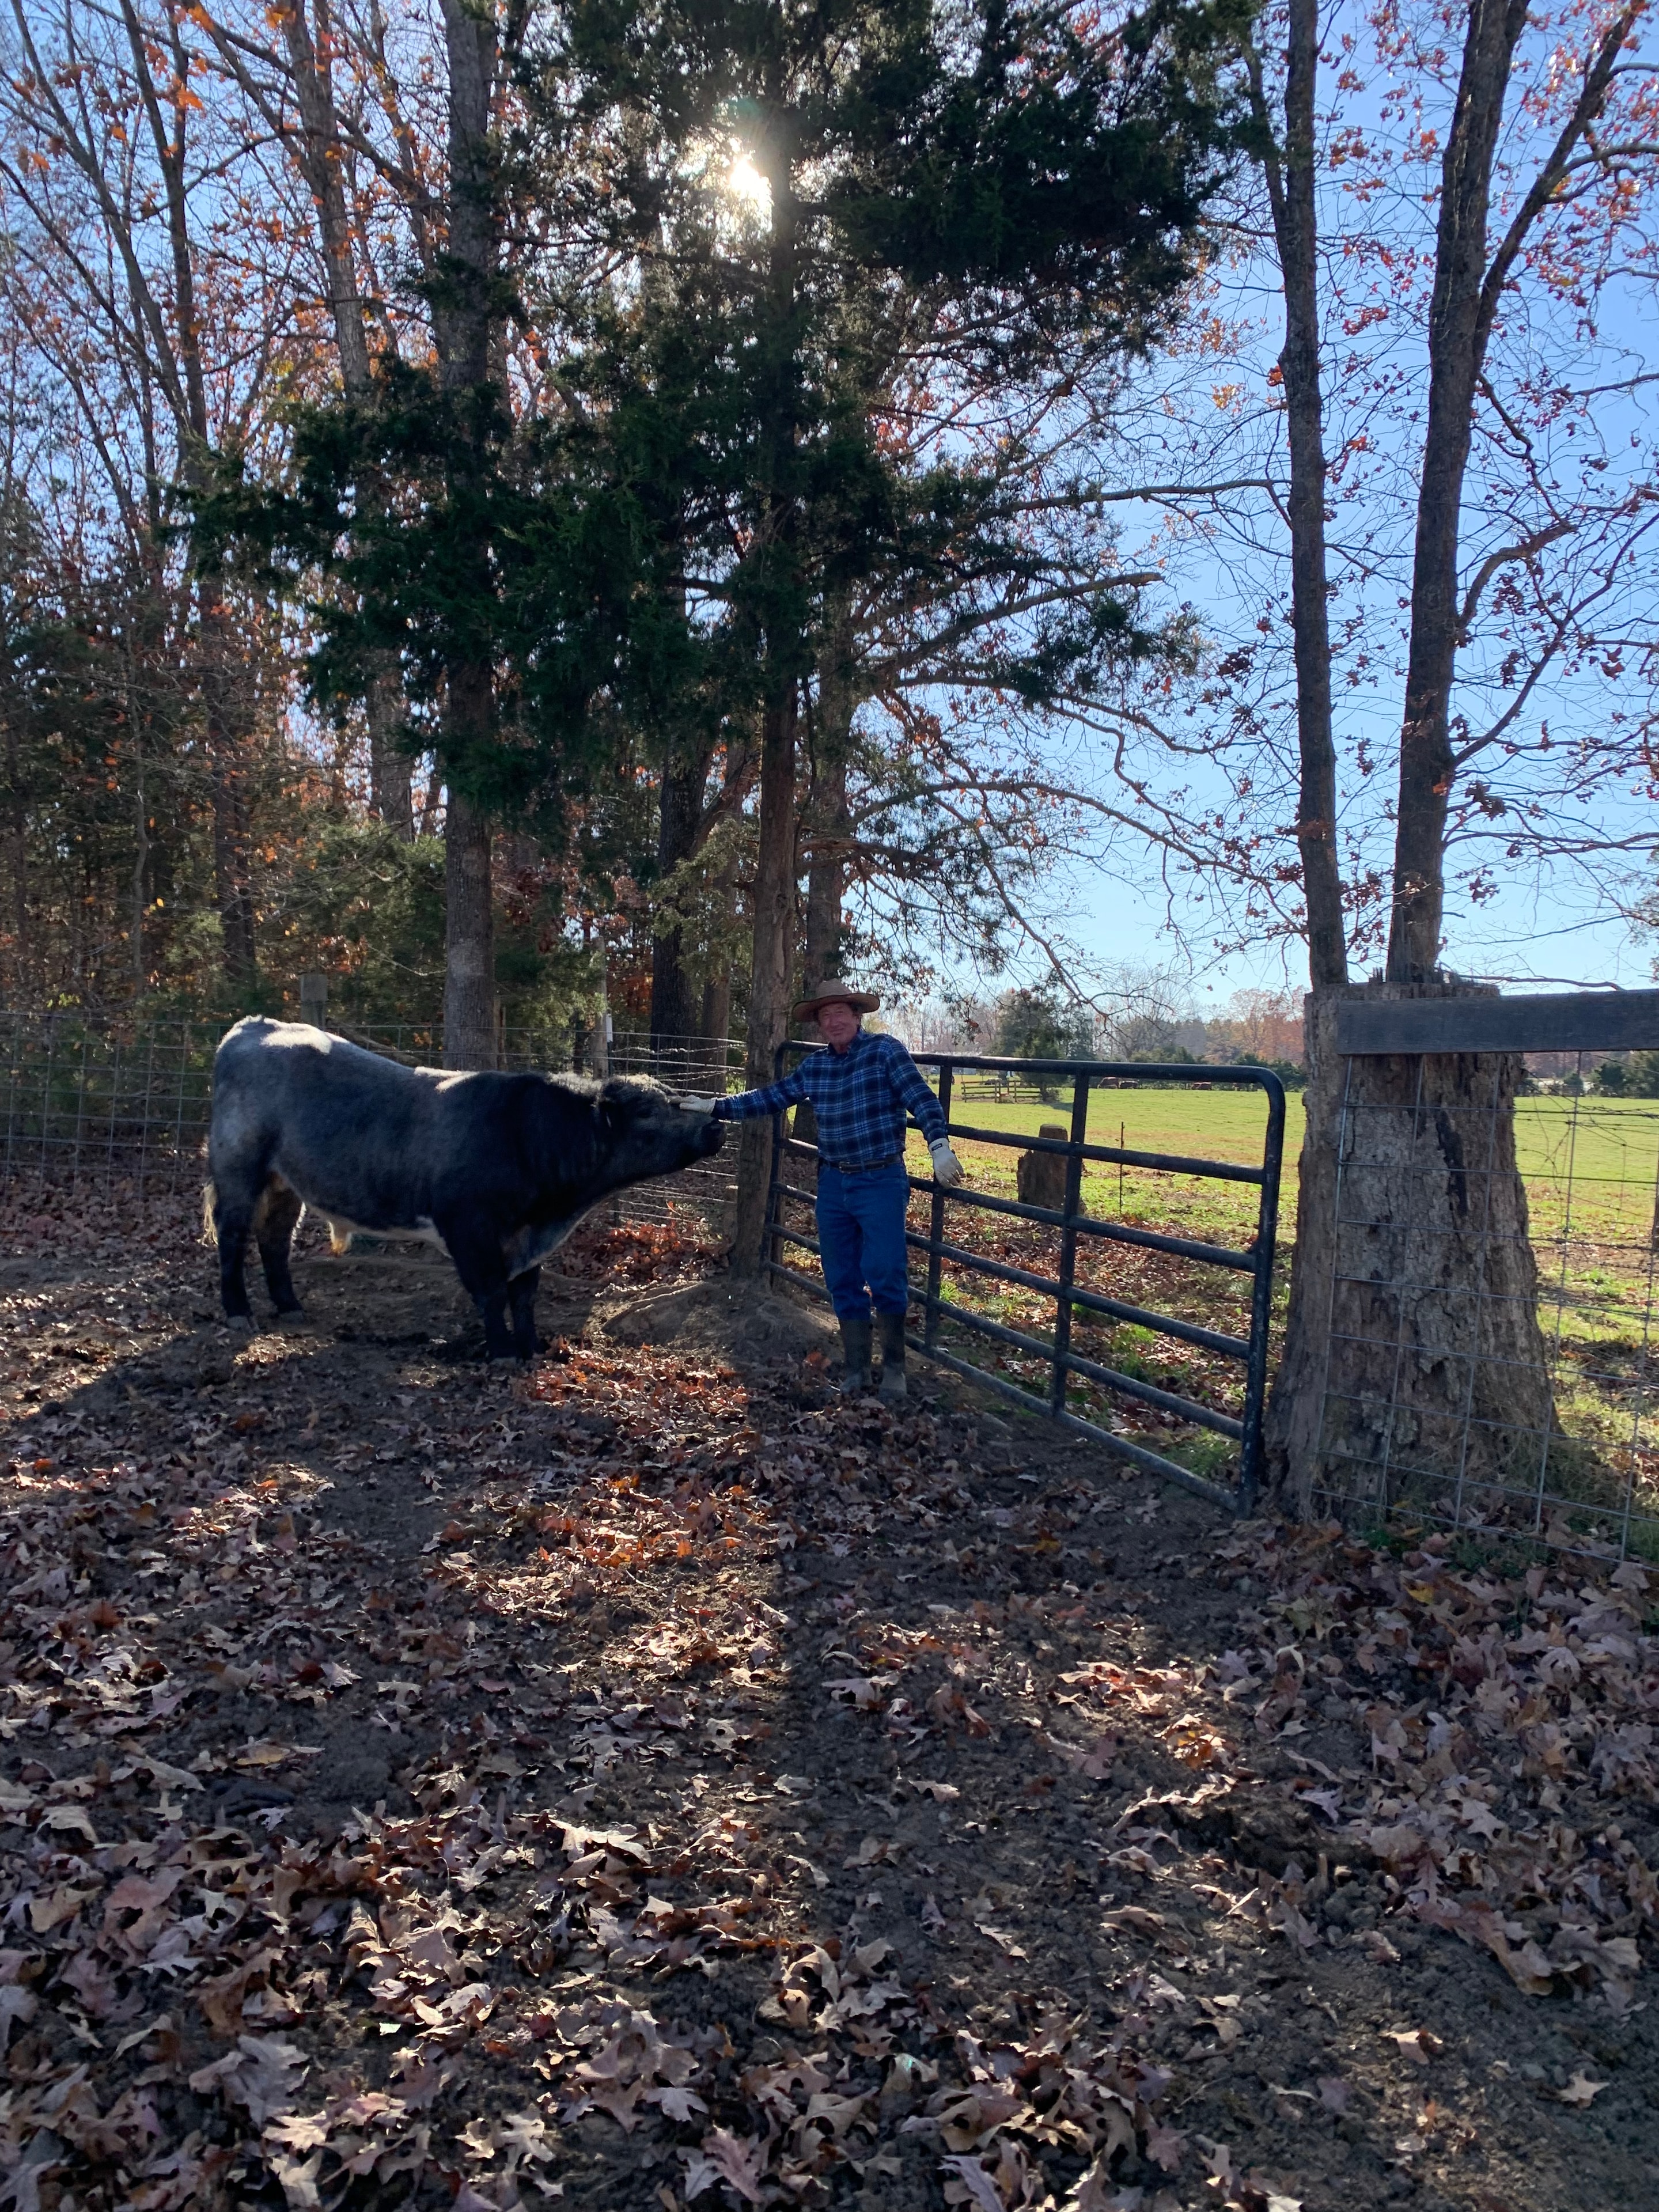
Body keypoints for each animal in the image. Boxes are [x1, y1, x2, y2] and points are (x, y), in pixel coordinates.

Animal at [205, 1017, 723, 1359]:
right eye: (650, 1111)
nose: (715, 1125)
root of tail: (255, 1026)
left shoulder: (525, 1235)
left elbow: (524, 1293)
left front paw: (530, 1347)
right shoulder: (469, 1227)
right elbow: (492, 1291)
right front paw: (503, 1352)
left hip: (285, 1182)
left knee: (275, 1239)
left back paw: (290, 1307)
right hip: (239, 1166)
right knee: (233, 1237)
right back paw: (237, 1312)